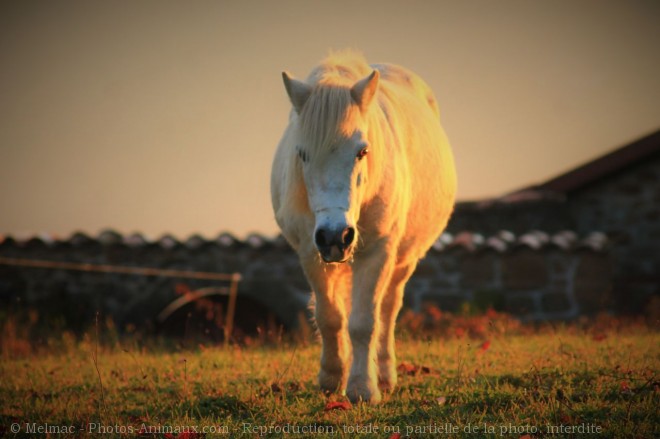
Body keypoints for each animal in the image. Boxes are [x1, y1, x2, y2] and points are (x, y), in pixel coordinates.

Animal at [268, 49, 454, 404]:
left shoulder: (377, 251)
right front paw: (331, 379)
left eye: (362, 151)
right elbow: (330, 317)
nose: (334, 237)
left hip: (403, 260)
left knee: (387, 310)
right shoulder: (311, 253)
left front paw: (362, 389)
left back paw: (384, 374)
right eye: (302, 154)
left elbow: (365, 322)